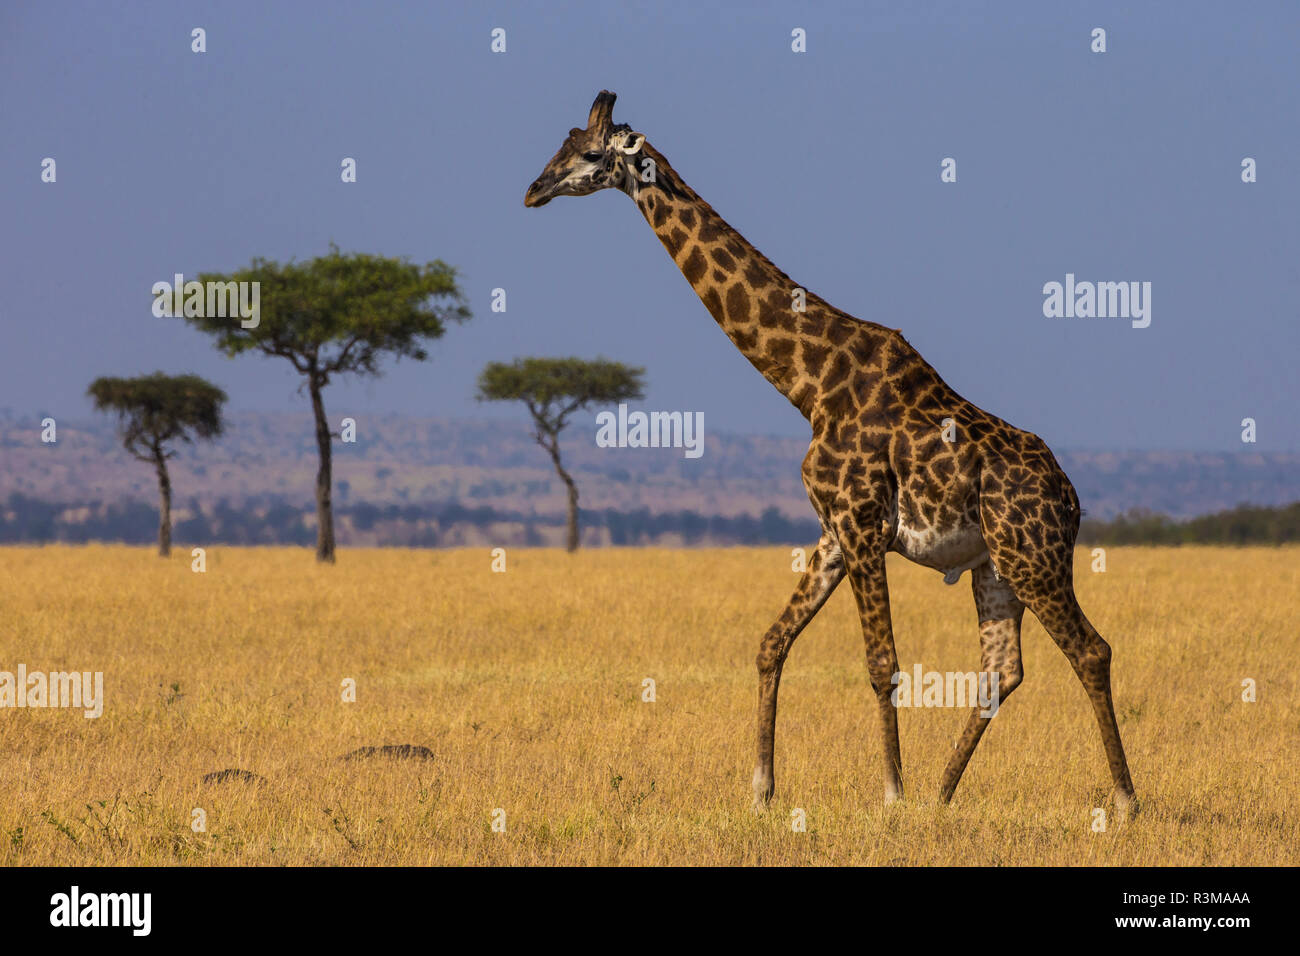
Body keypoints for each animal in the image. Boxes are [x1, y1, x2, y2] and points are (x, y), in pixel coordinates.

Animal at [522, 89, 1133, 816]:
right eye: (559, 143)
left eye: (590, 154)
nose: (533, 190)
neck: (808, 383)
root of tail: (1071, 499)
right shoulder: (833, 530)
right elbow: (771, 643)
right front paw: (761, 790)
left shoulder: (862, 523)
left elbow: (882, 662)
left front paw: (891, 795)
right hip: (994, 565)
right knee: (1002, 668)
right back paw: (943, 796)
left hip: (1031, 555)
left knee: (1091, 651)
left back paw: (1123, 800)